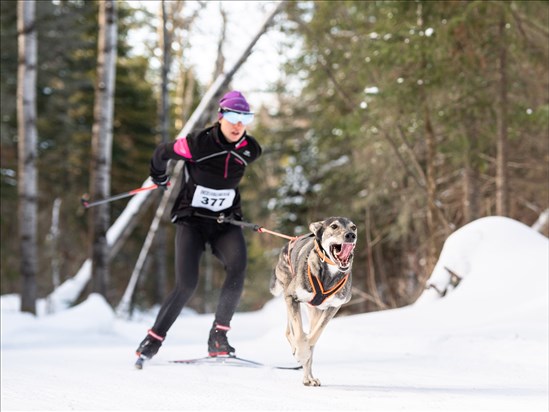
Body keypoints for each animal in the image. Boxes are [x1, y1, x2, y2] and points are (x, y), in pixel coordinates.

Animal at [268, 217, 356, 384]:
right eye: (334, 226)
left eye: (353, 227)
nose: (350, 235)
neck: (329, 274)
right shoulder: (292, 297)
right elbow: (299, 333)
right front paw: (300, 352)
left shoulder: (333, 307)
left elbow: (314, 336)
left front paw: (305, 351)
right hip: (288, 296)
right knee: (289, 331)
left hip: (314, 311)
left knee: (309, 338)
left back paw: (308, 377)